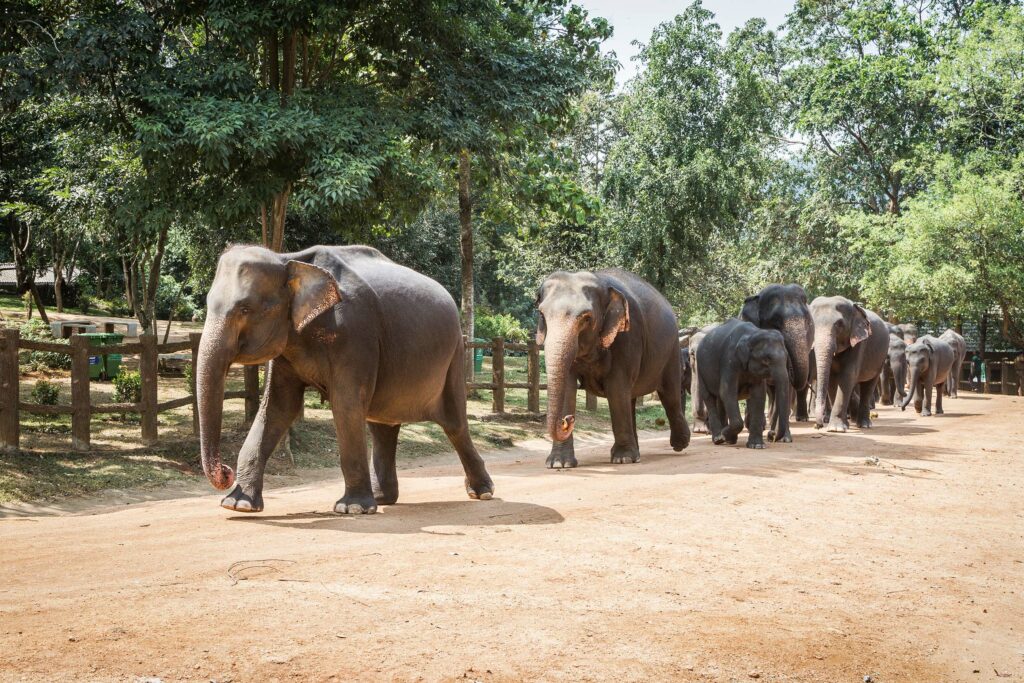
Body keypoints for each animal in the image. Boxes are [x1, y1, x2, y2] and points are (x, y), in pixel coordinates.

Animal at [196, 245, 495, 511]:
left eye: (245, 309)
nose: (226, 472)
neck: (289, 258)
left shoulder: (354, 335)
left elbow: (346, 404)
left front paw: (352, 508)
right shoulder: (287, 345)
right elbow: (278, 407)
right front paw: (238, 504)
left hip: (454, 355)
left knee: (454, 423)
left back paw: (483, 493)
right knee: (383, 426)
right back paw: (383, 499)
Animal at [532, 270, 692, 466]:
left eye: (587, 318)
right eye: (541, 314)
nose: (567, 420)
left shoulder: (628, 337)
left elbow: (616, 388)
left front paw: (623, 459)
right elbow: (568, 387)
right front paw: (559, 463)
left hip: (672, 350)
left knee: (670, 395)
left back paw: (679, 444)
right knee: (631, 398)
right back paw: (638, 452)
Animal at [696, 319, 790, 448]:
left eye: (786, 358)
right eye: (766, 360)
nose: (772, 434)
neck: (752, 334)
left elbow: (758, 395)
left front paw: (756, 446)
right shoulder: (729, 360)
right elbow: (727, 391)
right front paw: (724, 435)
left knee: (720, 400)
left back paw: (729, 440)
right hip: (700, 369)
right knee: (709, 397)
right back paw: (718, 438)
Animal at [806, 294, 888, 432]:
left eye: (839, 324)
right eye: (811, 324)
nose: (818, 426)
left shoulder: (860, 342)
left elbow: (847, 376)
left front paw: (835, 428)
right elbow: (832, 379)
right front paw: (839, 426)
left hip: (881, 358)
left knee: (869, 384)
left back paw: (864, 424)